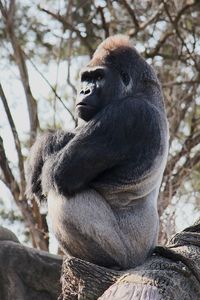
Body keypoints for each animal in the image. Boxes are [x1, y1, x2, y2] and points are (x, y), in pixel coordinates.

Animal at [25, 35, 168, 270]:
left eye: (99, 77)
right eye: (86, 78)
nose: (84, 91)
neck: (142, 89)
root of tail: (146, 254)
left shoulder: (126, 114)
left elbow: (57, 172)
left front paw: (50, 143)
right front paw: (52, 141)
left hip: (129, 254)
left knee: (61, 196)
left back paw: (106, 263)